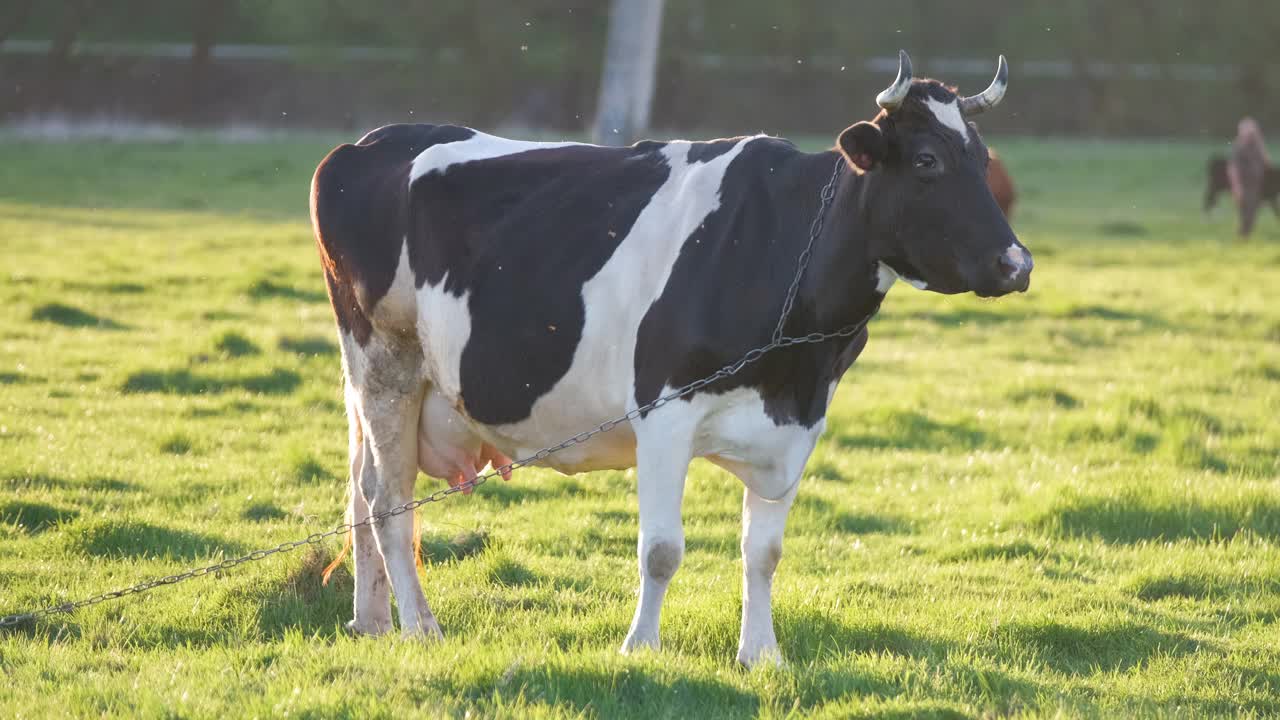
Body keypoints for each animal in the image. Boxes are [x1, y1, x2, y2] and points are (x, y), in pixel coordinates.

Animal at [309, 51, 1029, 666]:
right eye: (928, 160)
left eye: (982, 159)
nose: (1017, 263)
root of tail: (367, 144)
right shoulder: (662, 412)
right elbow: (661, 549)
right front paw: (641, 647)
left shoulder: (797, 425)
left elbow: (764, 551)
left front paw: (761, 655)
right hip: (385, 360)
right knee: (389, 500)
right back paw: (420, 626)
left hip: (381, 382)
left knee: (362, 487)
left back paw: (372, 620)